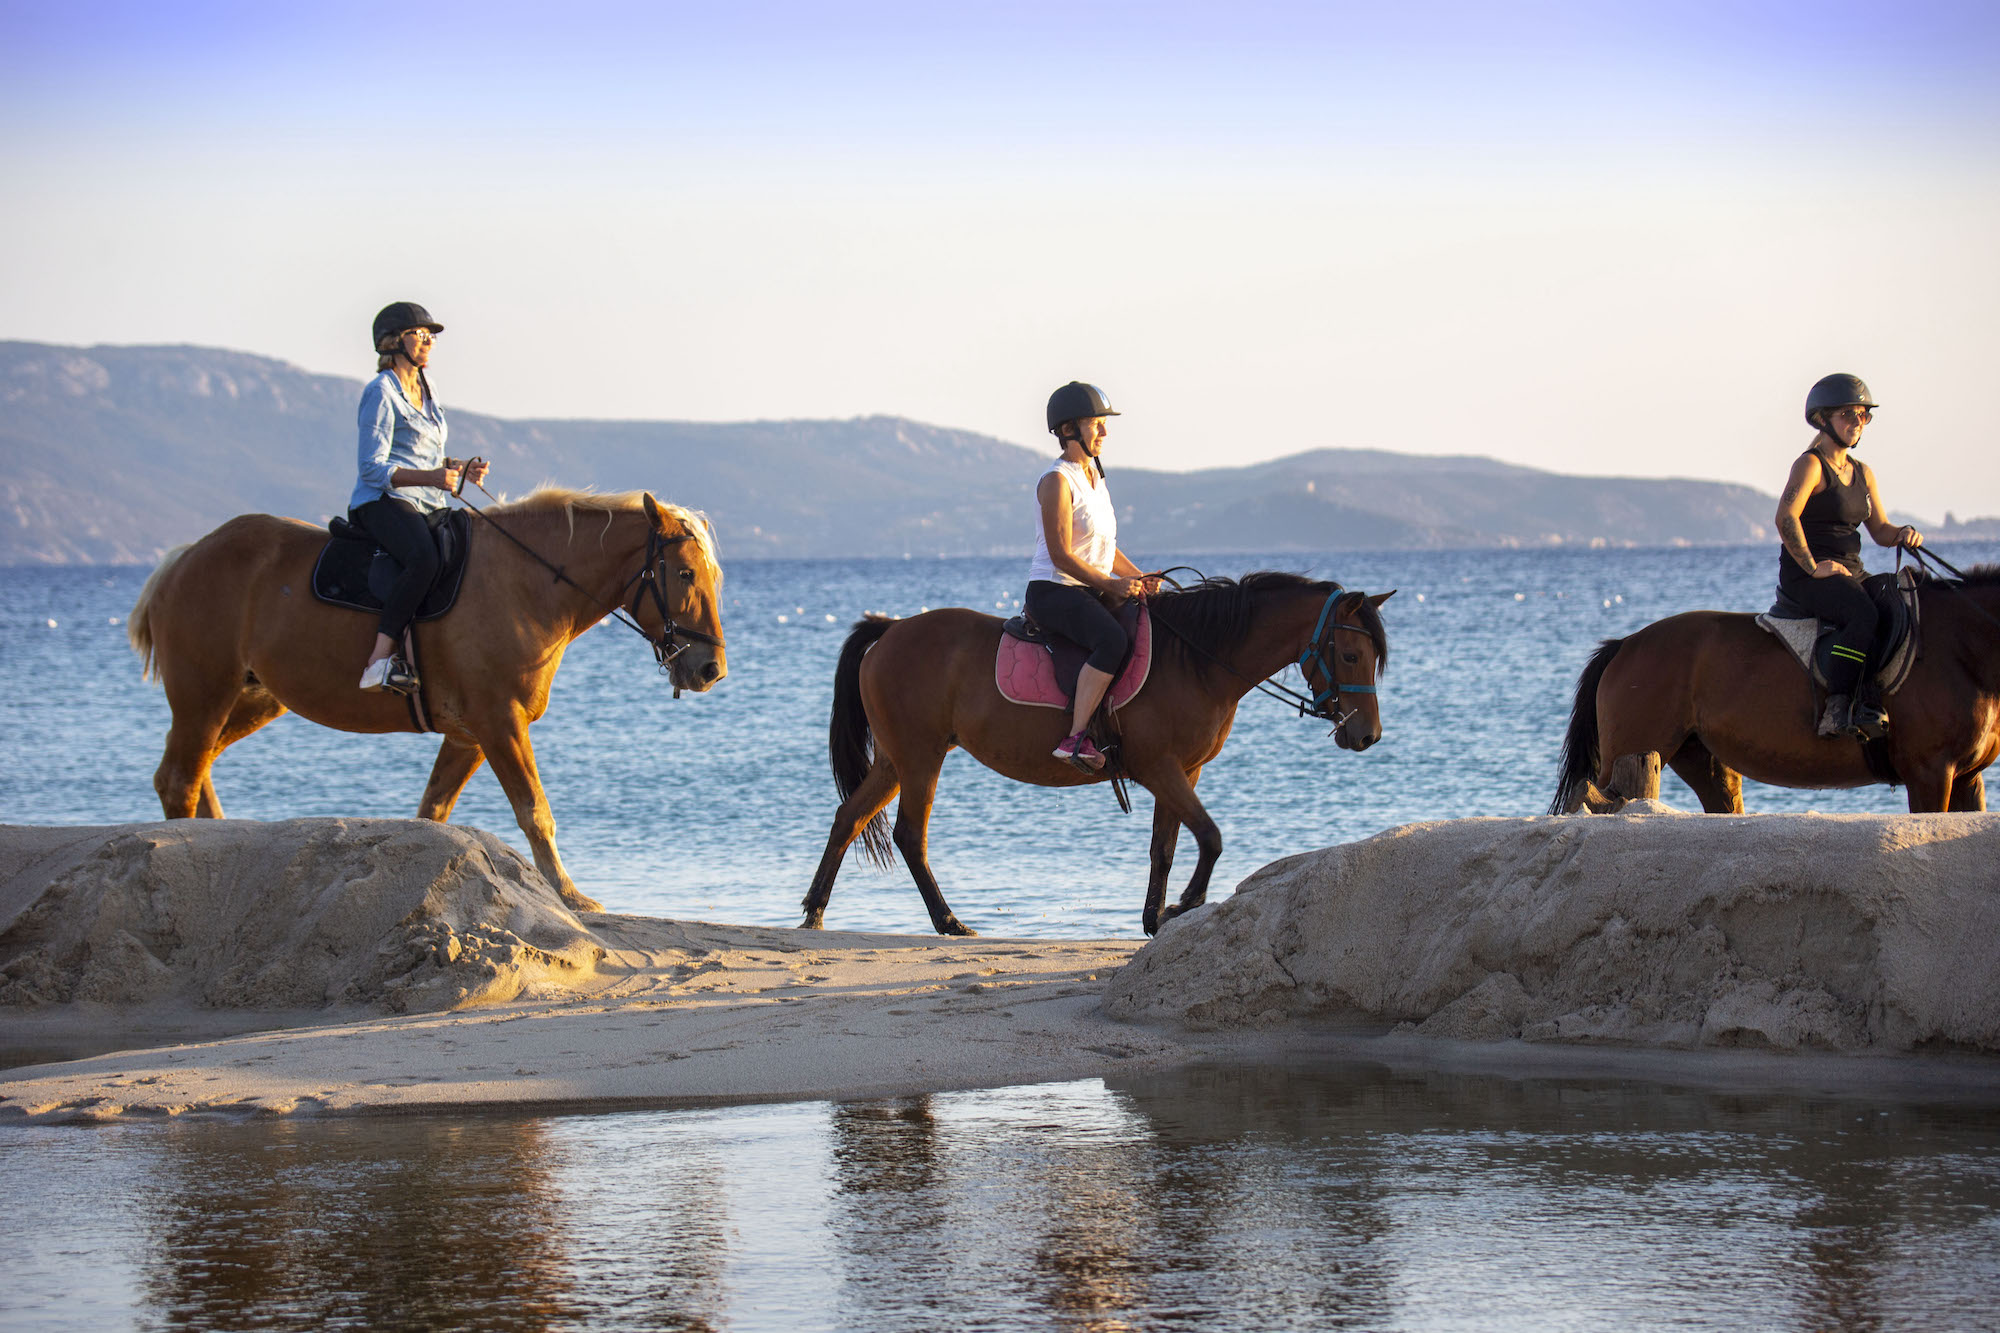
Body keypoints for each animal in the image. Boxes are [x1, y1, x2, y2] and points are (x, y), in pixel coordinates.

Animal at [125, 488, 724, 912]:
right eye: (685, 573)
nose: (709, 669)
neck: (523, 585)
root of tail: (181, 560)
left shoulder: (468, 735)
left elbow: (432, 813)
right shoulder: (499, 723)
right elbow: (535, 811)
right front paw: (569, 893)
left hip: (252, 698)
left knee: (196, 771)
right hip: (205, 693)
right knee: (179, 779)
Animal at [796, 572, 1392, 932]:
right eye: (1351, 653)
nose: (1367, 735)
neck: (1198, 659)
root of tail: (892, 628)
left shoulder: (1185, 771)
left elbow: (1165, 847)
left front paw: (1155, 919)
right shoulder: (1159, 767)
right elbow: (1211, 837)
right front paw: (1184, 906)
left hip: (896, 759)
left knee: (849, 817)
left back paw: (814, 913)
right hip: (920, 757)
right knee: (907, 835)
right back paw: (948, 922)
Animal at [1552, 560, 2000, 808]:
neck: (1959, 646)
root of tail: (1625, 644)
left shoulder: (1966, 777)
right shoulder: (1930, 773)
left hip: (1701, 759)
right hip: (1625, 756)